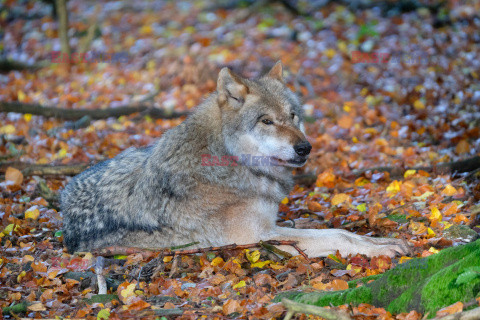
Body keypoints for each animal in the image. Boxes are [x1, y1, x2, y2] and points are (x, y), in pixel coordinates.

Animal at [62, 62, 410, 258]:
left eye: (293, 116)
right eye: (266, 121)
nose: (305, 148)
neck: (231, 161)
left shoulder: (270, 225)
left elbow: (339, 231)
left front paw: (385, 239)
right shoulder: (258, 236)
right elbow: (335, 235)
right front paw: (382, 249)